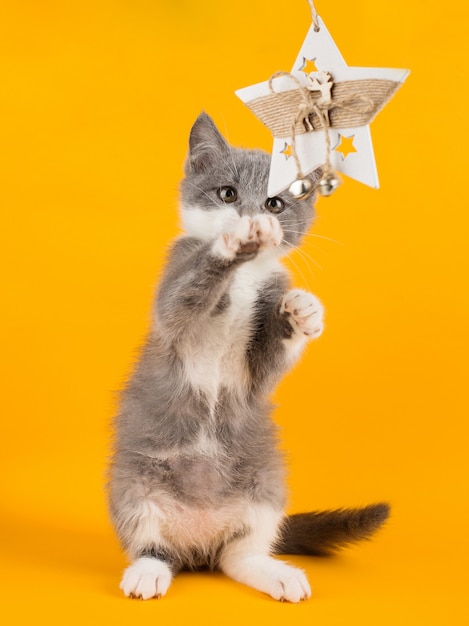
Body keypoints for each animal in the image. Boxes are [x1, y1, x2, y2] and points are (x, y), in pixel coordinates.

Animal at [107, 112, 388, 600]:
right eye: (228, 194)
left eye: (275, 203)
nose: (254, 215)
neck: (245, 278)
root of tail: (197, 541)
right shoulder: (175, 288)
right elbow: (183, 299)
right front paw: (234, 240)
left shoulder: (258, 362)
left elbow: (269, 361)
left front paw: (304, 312)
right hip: (134, 485)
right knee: (153, 543)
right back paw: (147, 571)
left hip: (264, 483)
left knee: (235, 555)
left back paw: (272, 571)